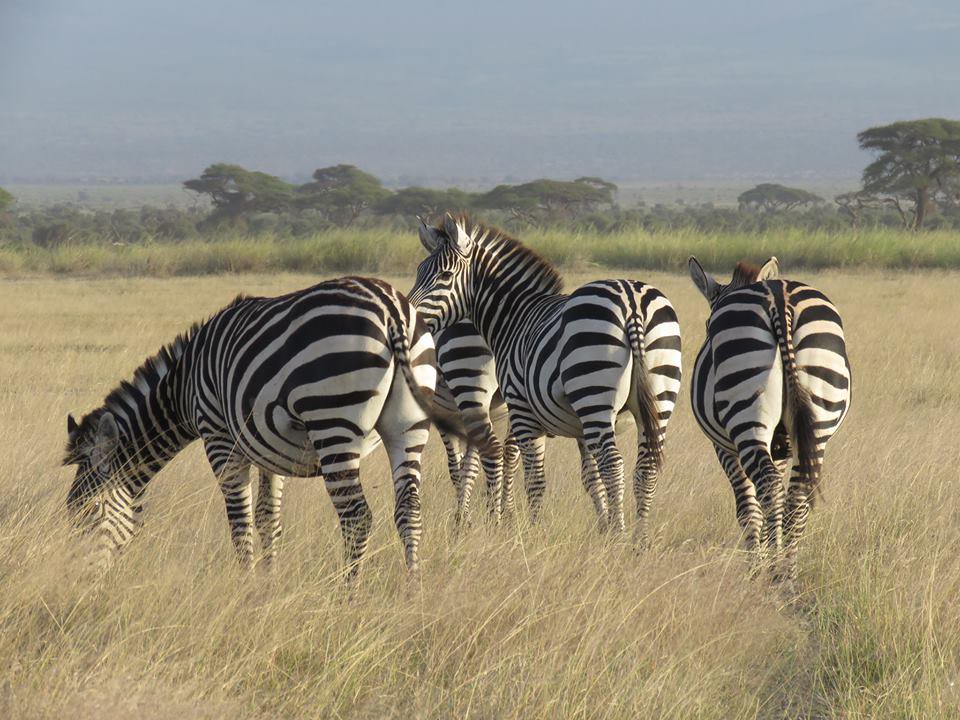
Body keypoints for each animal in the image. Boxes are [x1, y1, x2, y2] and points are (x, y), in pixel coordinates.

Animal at [63, 276, 457, 579]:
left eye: (91, 512)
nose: (79, 580)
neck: (183, 384)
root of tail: (393, 311)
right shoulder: (270, 450)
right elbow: (269, 520)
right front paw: (268, 583)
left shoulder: (219, 436)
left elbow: (240, 522)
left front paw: (247, 586)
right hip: (408, 427)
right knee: (409, 510)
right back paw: (413, 588)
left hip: (333, 422)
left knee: (356, 518)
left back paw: (349, 596)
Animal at [409, 213, 683, 540]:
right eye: (418, 272)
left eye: (445, 276)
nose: (408, 316)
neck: (514, 317)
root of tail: (631, 301)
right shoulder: (578, 428)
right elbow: (590, 477)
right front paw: (601, 526)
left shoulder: (521, 410)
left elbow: (533, 479)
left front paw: (531, 531)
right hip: (659, 395)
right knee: (646, 468)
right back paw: (639, 538)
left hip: (591, 395)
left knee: (612, 465)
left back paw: (619, 535)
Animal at [687, 256, 851, 582]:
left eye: (708, 326)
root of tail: (780, 297)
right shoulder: (783, 447)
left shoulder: (724, 447)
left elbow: (747, 507)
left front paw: (755, 566)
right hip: (819, 416)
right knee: (796, 495)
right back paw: (787, 572)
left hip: (746, 419)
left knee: (769, 488)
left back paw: (772, 572)